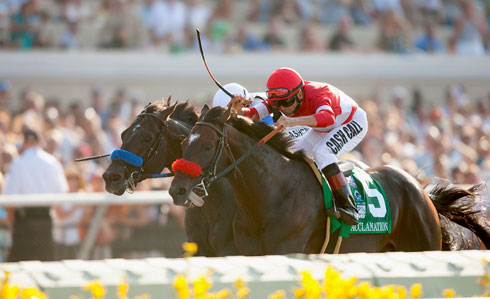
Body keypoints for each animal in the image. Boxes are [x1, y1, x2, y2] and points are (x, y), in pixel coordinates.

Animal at [170, 106, 484, 256]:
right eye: (184, 142)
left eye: (207, 146)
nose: (177, 190)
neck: (269, 195)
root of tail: (420, 190)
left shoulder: (287, 249)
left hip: (422, 243)